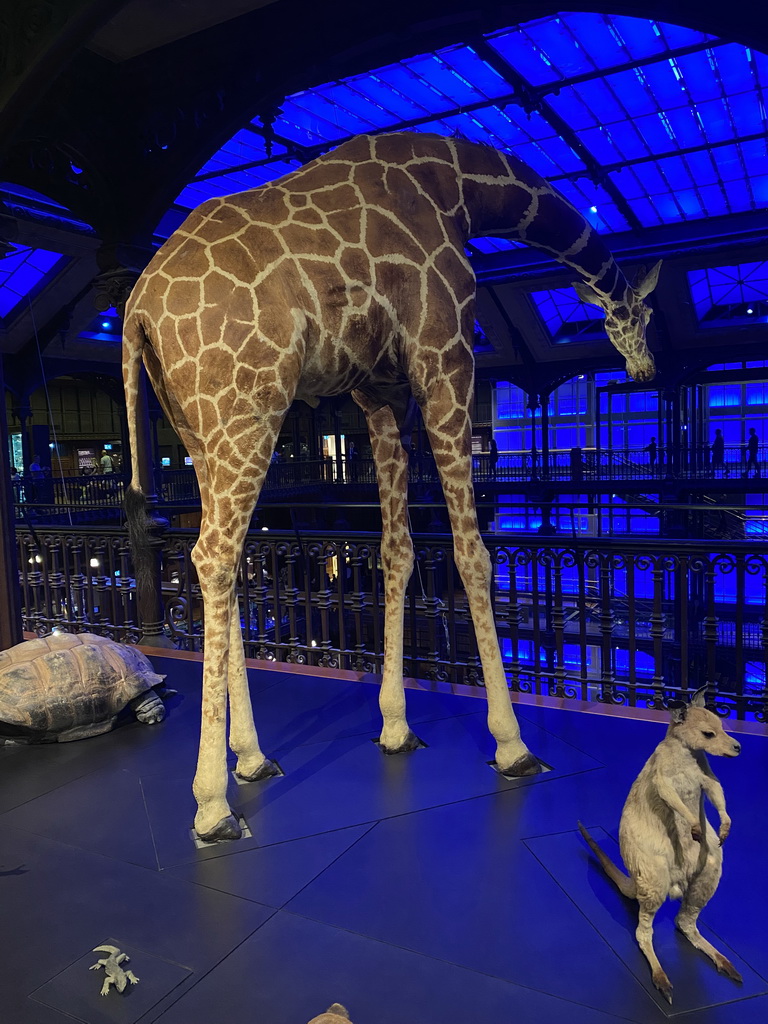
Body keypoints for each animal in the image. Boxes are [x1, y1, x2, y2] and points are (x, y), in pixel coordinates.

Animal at [124, 132, 663, 839]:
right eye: (638, 313)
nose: (646, 367)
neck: (464, 188)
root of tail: (135, 310)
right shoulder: (445, 355)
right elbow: (471, 552)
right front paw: (512, 744)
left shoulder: (380, 394)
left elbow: (397, 550)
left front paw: (396, 727)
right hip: (249, 404)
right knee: (213, 553)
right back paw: (213, 804)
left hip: (195, 427)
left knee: (224, 555)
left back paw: (253, 758)